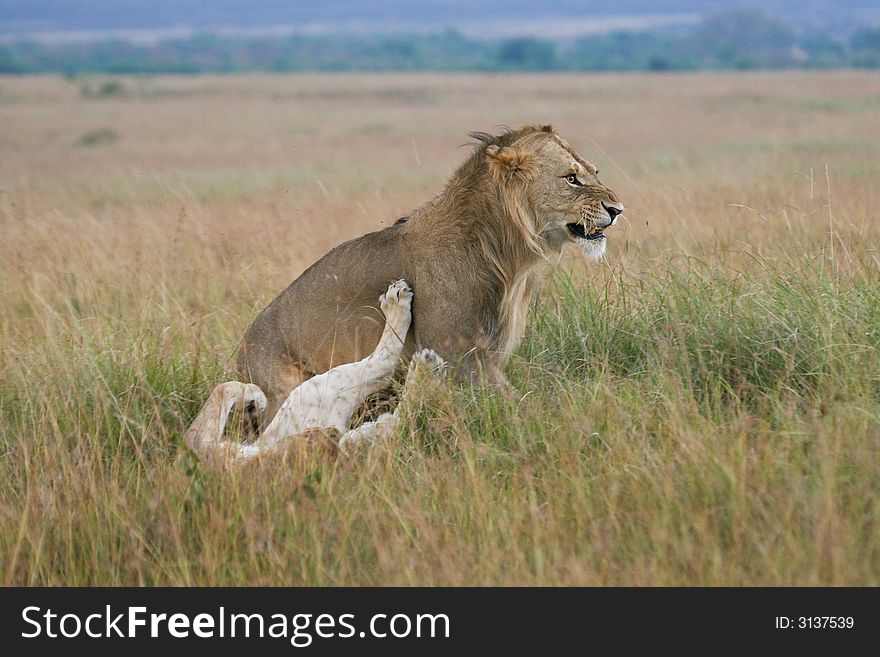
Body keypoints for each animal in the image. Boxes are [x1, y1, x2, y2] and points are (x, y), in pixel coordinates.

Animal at [237, 124, 624, 416]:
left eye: (593, 173)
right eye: (571, 178)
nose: (617, 209)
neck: (507, 257)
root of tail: (241, 351)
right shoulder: (458, 358)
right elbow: (522, 406)